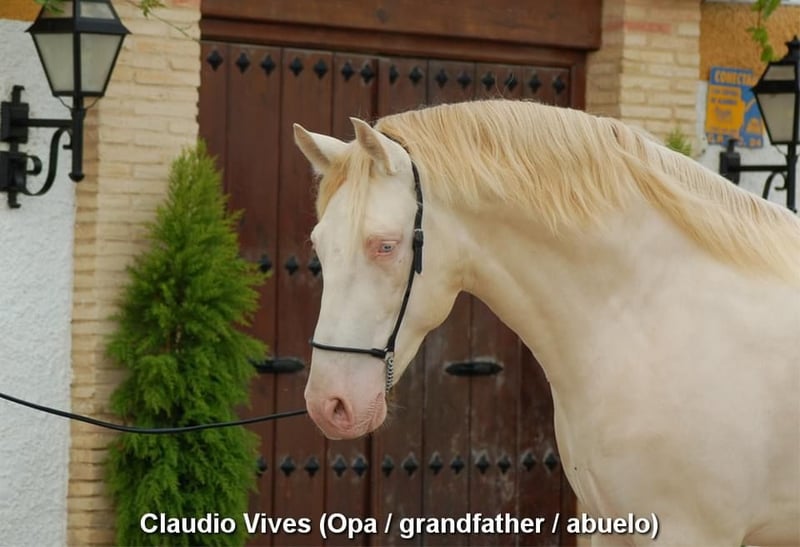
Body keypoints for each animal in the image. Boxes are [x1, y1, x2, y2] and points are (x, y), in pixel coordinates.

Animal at [293, 99, 800, 546]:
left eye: (385, 246)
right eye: (318, 244)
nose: (329, 404)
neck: (651, 316)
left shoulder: (689, 532)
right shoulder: (610, 527)